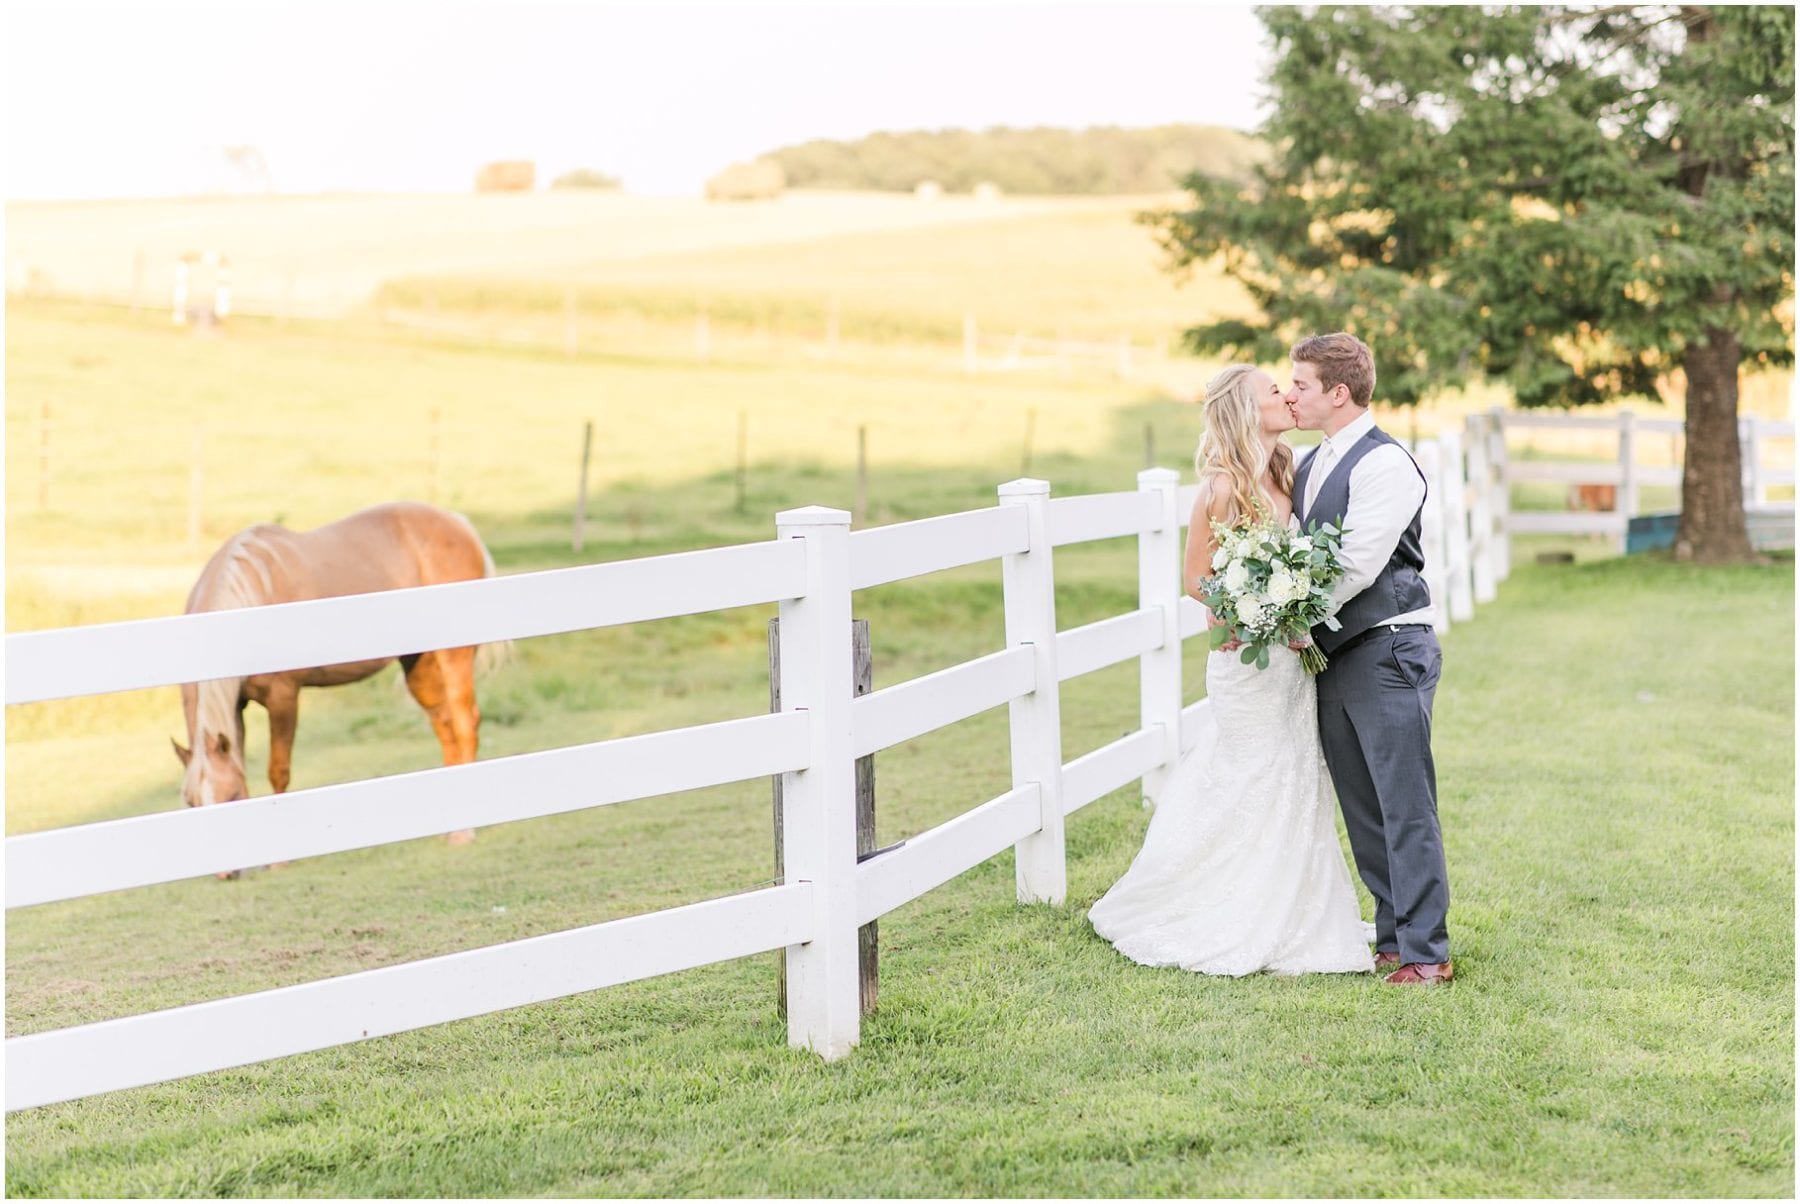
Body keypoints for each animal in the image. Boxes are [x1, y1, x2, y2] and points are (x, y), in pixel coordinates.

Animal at [173, 496, 500, 863]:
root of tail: (457, 522)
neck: (250, 595)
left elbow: (278, 769)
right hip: (420, 664)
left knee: (464, 722)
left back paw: (465, 832)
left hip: (454, 655)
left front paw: (279, 861)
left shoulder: (283, 696)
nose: (226, 870)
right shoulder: (236, 706)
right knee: (445, 726)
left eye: (230, 796)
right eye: (191, 803)